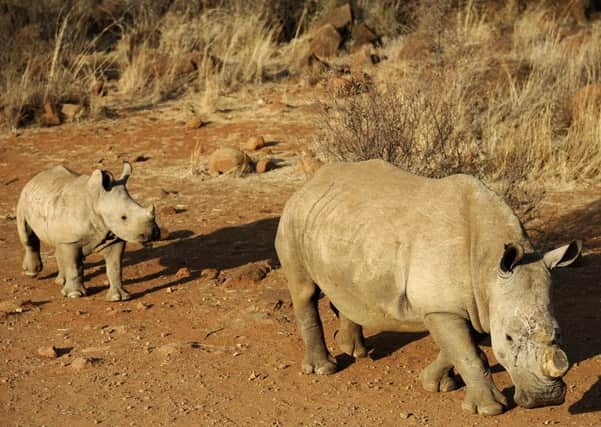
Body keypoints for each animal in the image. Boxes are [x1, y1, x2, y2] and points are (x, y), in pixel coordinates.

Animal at [274, 160, 580, 414]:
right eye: (509, 338)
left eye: (559, 333)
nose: (546, 399)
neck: (488, 265)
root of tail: (309, 183)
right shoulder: (443, 308)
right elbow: (468, 353)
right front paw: (489, 409)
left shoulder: (469, 304)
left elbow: (459, 348)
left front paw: (436, 384)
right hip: (294, 217)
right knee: (304, 291)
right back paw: (324, 369)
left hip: (342, 227)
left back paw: (355, 352)